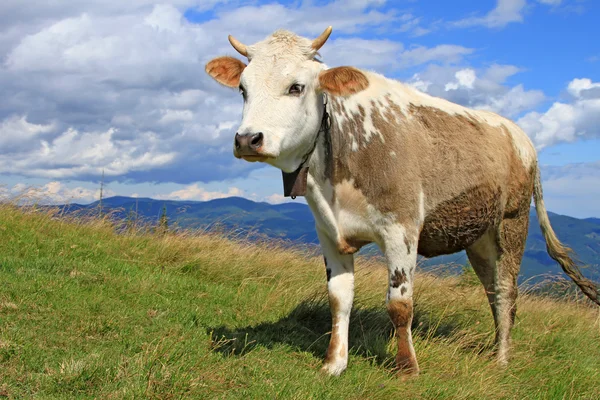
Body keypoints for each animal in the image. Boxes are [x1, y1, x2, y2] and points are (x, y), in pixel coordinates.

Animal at [204, 26, 596, 376]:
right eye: (242, 89)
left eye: (296, 87)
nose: (248, 139)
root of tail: (520, 136)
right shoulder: (328, 232)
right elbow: (338, 298)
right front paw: (334, 364)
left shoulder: (402, 229)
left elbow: (400, 304)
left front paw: (407, 369)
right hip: (479, 236)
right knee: (491, 289)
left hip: (512, 223)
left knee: (506, 290)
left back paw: (501, 359)